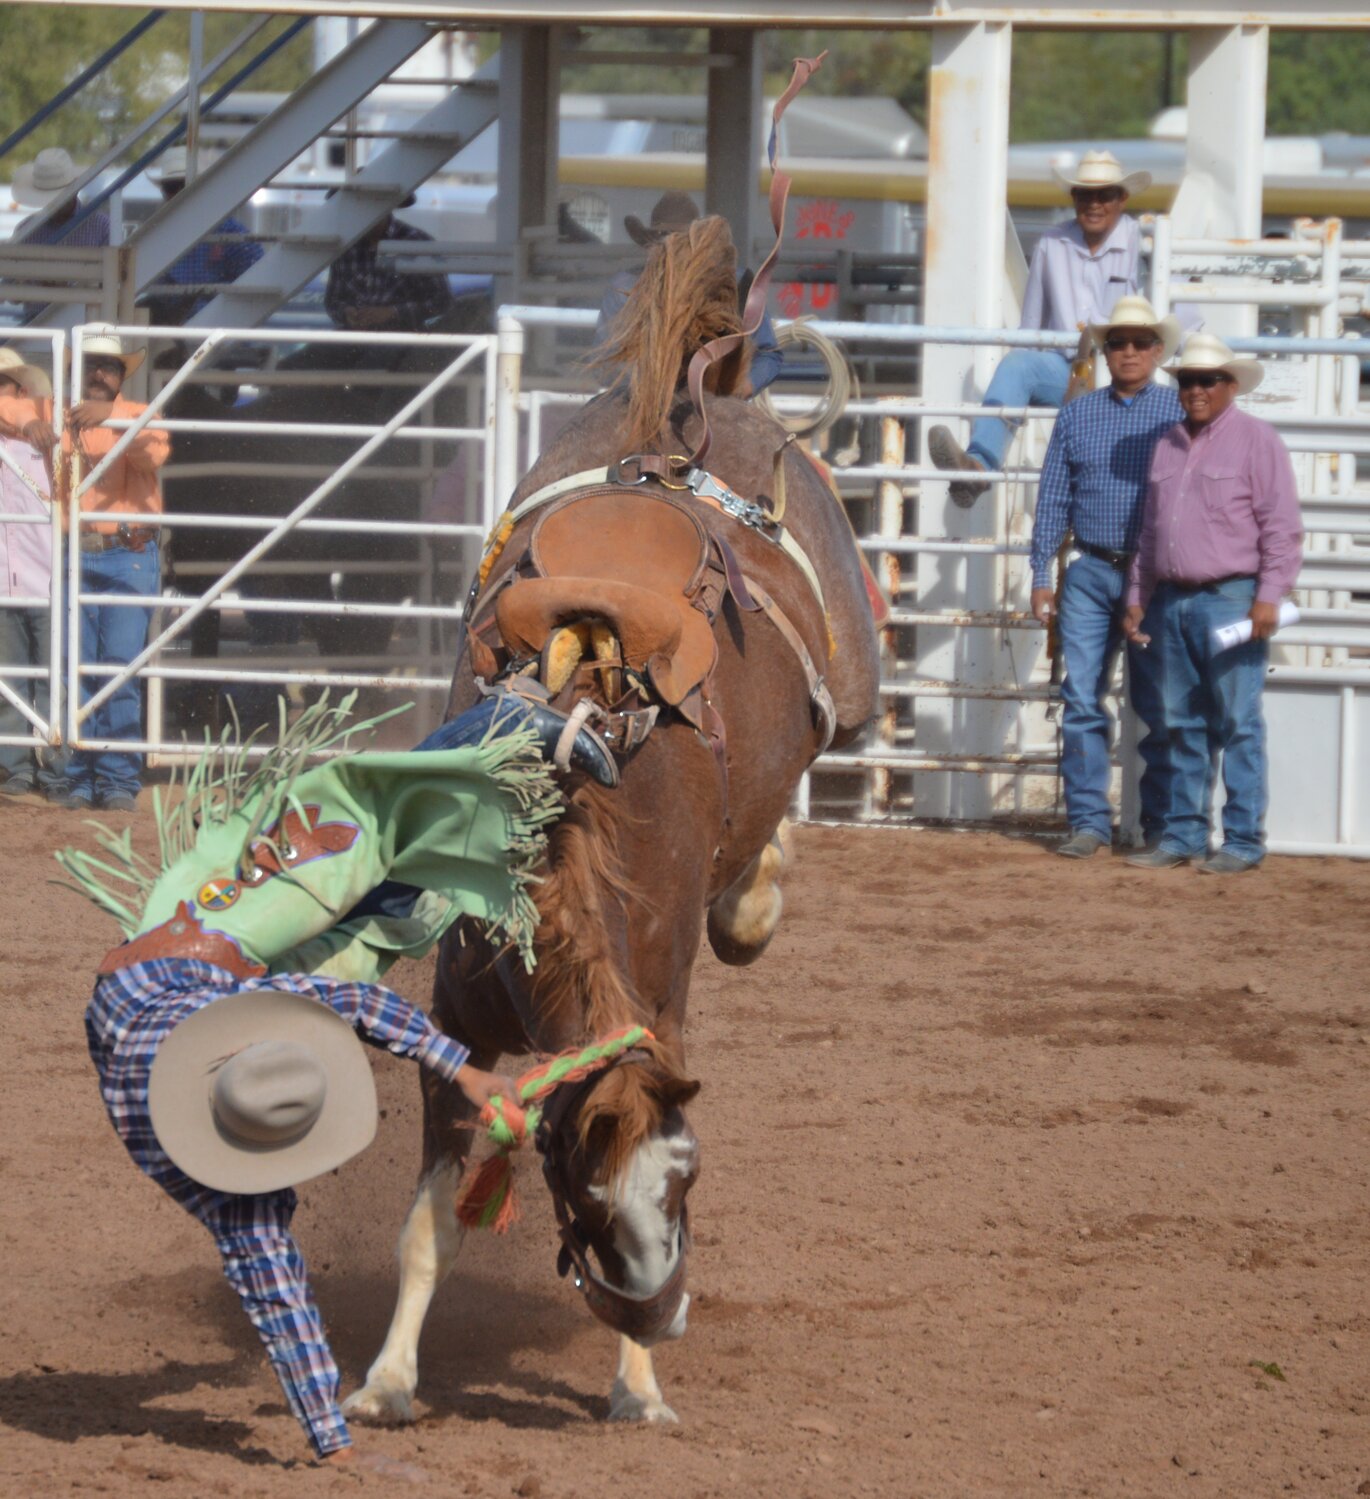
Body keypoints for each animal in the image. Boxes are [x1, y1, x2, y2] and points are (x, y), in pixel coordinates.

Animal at [341, 211, 875, 1427]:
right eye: (578, 1191)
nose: (661, 1315)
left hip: (856, 693)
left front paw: (637, 1384)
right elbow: (429, 1227)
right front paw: (387, 1378)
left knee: (790, 806)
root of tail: (683, 416)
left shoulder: (661, 996)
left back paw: (756, 901)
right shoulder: (459, 1023)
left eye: (687, 1181)